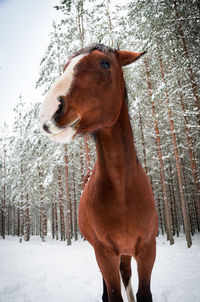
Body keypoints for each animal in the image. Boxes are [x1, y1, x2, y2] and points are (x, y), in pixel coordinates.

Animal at [39, 43, 158, 302]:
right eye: (66, 66)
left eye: (105, 63)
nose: (49, 109)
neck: (123, 191)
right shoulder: (104, 253)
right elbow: (112, 293)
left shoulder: (147, 250)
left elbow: (143, 293)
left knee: (126, 272)